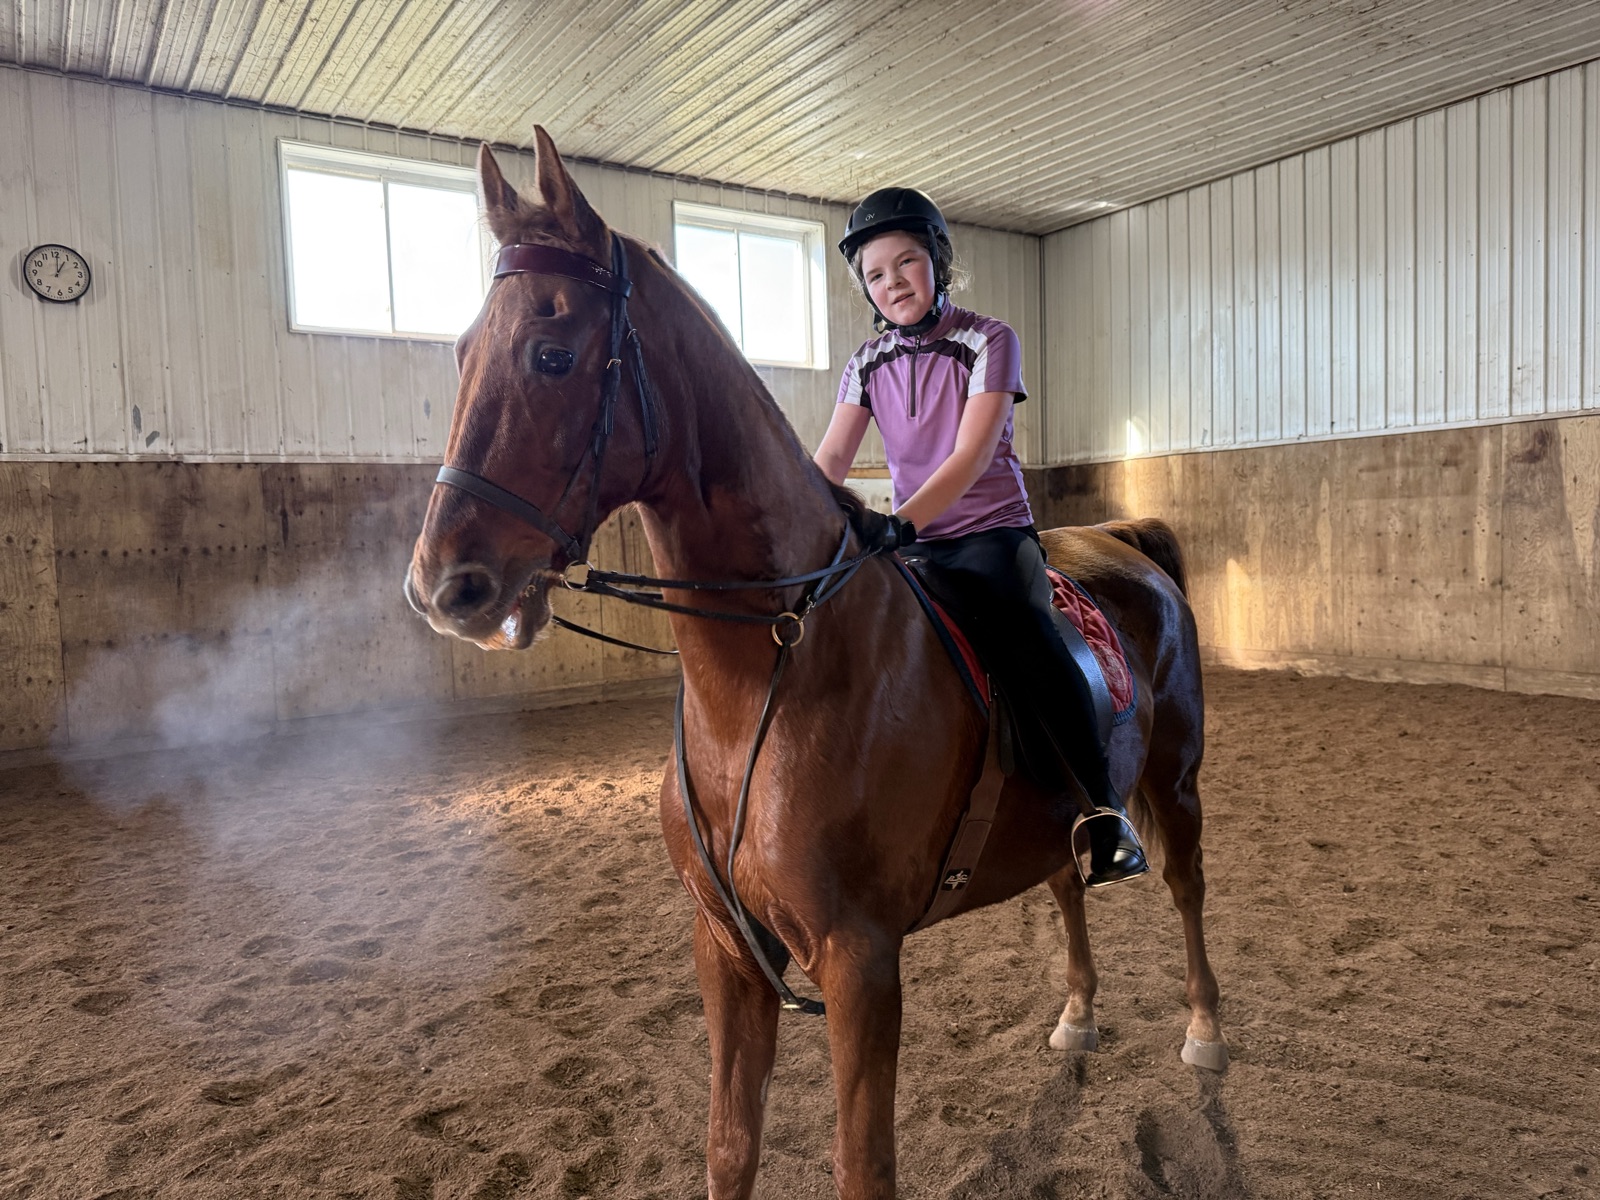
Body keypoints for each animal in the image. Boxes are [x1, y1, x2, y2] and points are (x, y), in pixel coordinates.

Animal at [405, 128, 1224, 1200]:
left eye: (552, 355)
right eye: (461, 351)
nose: (441, 586)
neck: (774, 675)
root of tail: (1125, 543)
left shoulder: (858, 962)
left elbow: (861, 1166)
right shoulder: (727, 950)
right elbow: (729, 1147)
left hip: (1175, 781)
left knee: (1185, 886)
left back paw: (1206, 1031)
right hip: (1062, 812)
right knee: (1064, 880)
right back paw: (1078, 1015)